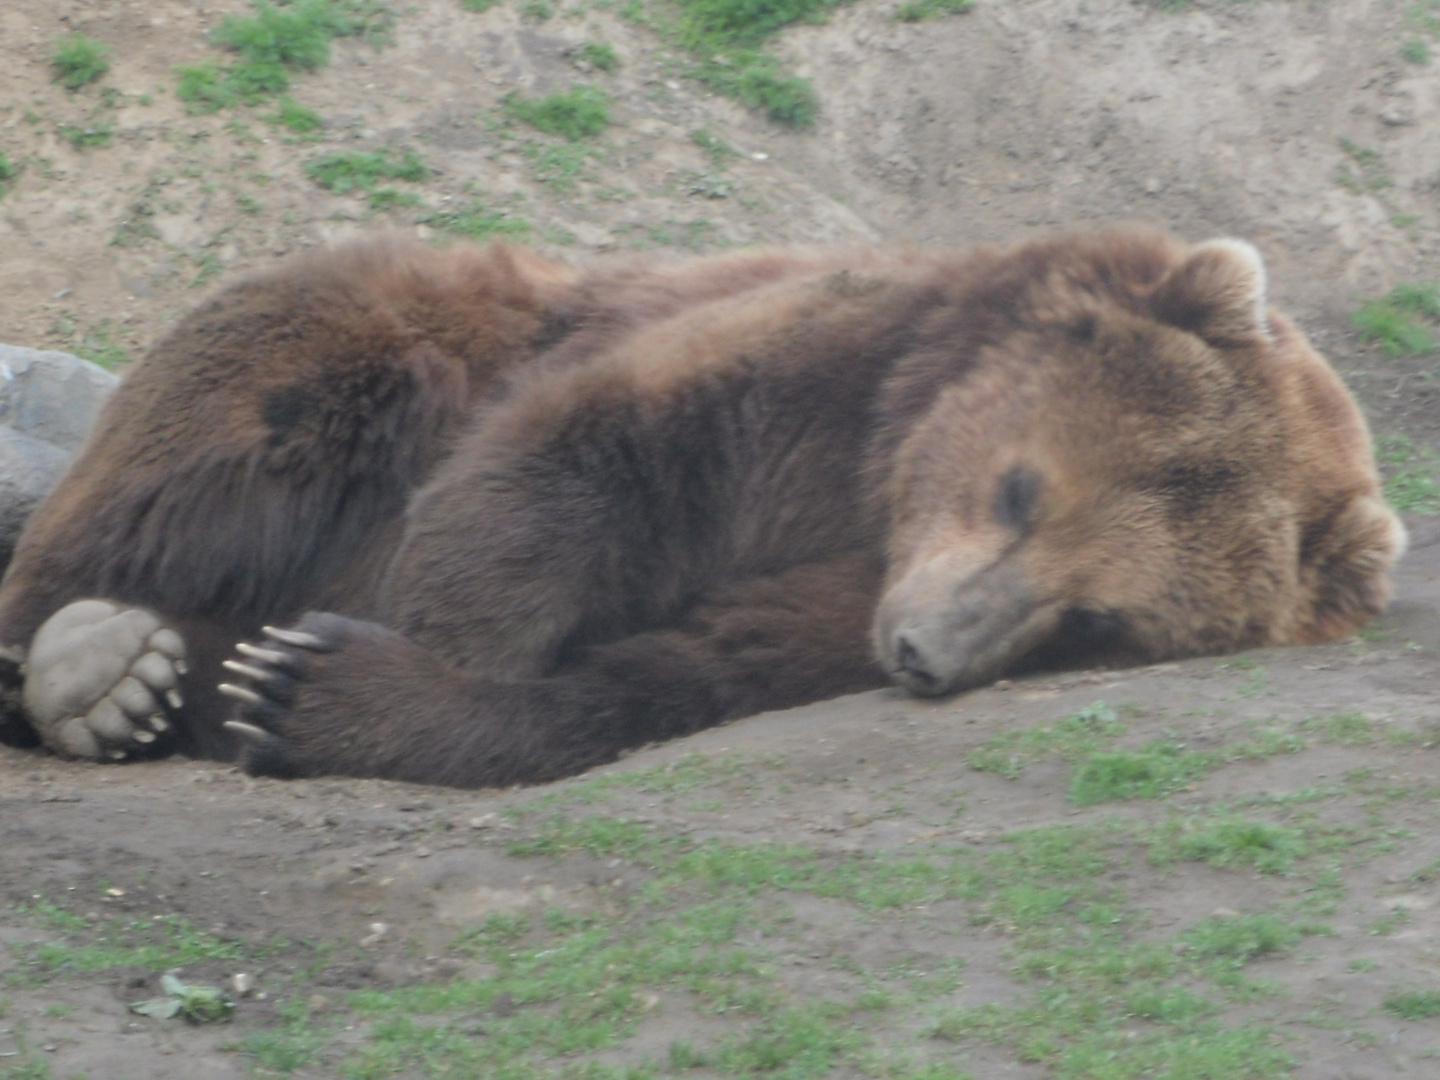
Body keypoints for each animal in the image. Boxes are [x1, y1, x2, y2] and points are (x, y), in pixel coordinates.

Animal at [0, 226, 1405, 789]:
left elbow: (675, 673)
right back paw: (95, 667)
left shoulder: (828, 604)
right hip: (377, 342)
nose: (923, 650)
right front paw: (388, 646)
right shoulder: (828, 376)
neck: (877, 500)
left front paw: (316, 690)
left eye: (1096, 620)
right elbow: (589, 452)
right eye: (1022, 488)